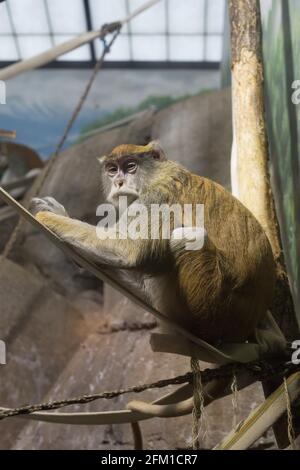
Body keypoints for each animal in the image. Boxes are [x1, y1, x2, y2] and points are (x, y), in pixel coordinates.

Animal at [30, 141, 274, 344]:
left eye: (130, 166)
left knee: (189, 238)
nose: (118, 182)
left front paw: (47, 217)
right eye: (112, 169)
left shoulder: (156, 198)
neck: (158, 174)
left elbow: (131, 251)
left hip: (219, 308)